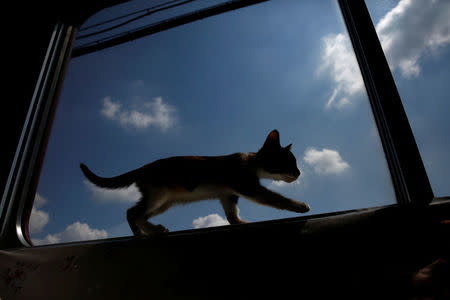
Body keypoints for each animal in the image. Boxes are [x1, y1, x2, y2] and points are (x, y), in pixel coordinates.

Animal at [81, 129, 310, 237]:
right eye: (290, 162)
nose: (299, 172)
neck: (249, 162)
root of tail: (144, 167)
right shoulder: (247, 186)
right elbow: (275, 198)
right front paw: (300, 206)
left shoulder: (227, 194)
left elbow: (231, 217)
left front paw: (242, 222)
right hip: (159, 194)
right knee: (132, 213)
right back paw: (147, 232)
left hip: (165, 201)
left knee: (138, 213)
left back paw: (149, 230)